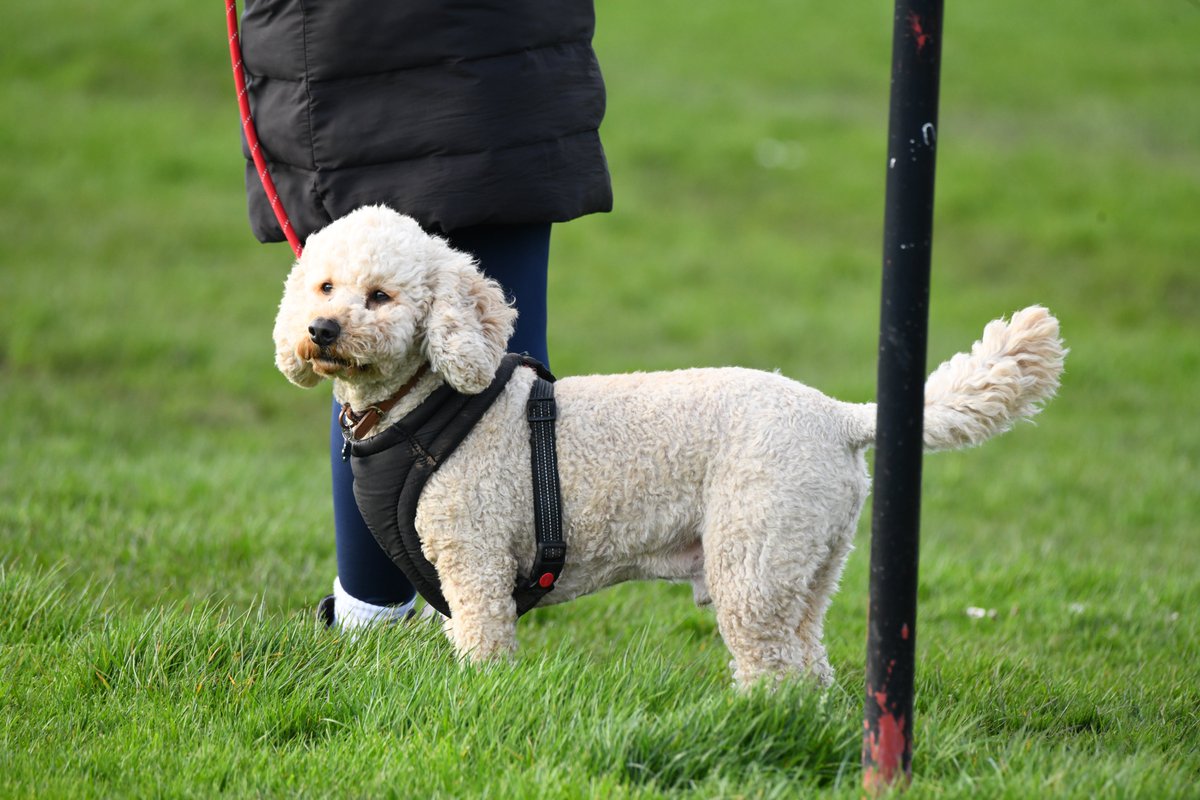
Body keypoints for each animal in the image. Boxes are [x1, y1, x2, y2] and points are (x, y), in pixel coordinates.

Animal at [274, 203, 1070, 686]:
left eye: (380, 296)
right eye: (324, 286)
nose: (320, 331)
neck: (428, 405)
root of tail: (839, 416)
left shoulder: (476, 565)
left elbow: (483, 650)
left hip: (754, 558)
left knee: (773, 670)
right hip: (810, 564)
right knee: (810, 666)